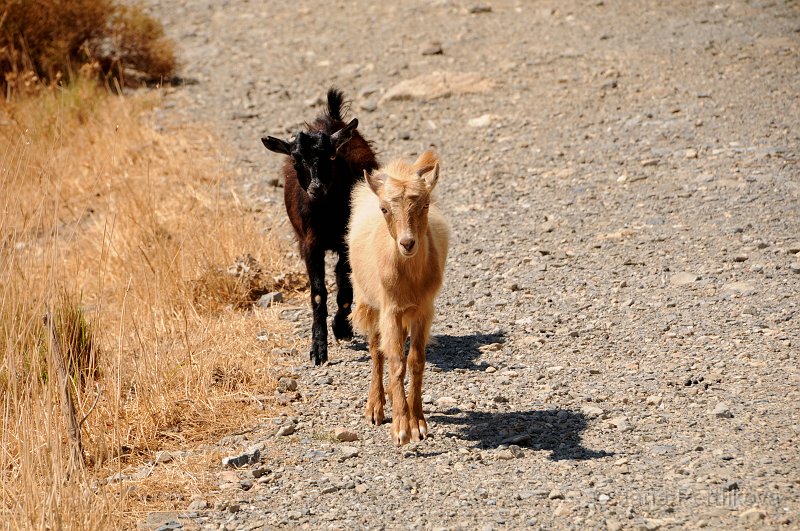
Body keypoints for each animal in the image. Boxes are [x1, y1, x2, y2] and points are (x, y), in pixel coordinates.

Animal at [260, 90, 378, 366]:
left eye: (332, 156)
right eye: (296, 159)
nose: (316, 187)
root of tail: (332, 117)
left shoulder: (345, 241)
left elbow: (344, 286)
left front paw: (341, 328)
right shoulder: (309, 244)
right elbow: (317, 293)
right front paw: (318, 350)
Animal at [348, 152, 450, 446]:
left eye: (425, 204)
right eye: (385, 209)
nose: (407, 243)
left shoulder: (423, 310)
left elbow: (415, 361)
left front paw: (418, 424)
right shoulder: (389, 309)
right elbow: (395, 362)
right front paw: (401, 428)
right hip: (368, 301)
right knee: (375, 350)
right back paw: (376, 408)